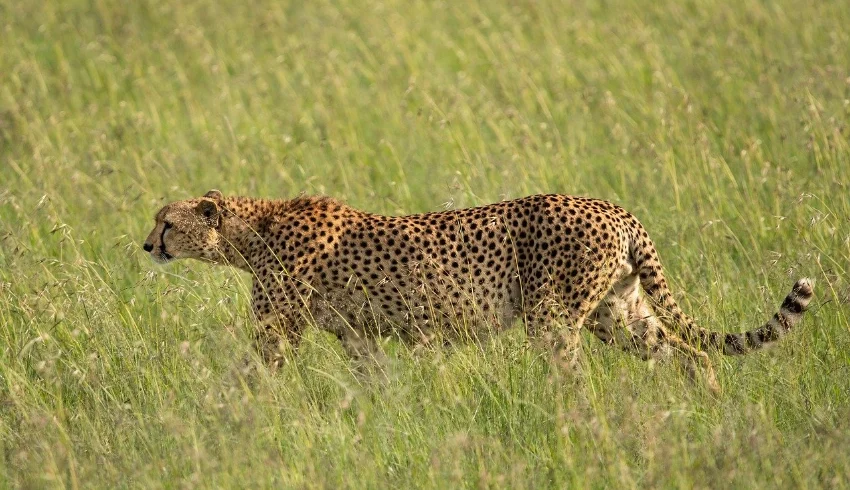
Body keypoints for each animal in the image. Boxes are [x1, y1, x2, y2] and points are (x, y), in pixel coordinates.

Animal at [143, 190, 814, 391]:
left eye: (165, 221)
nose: (147, 245)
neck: (251, 230)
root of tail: (612, 207)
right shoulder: (357, 335)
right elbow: (373, 380)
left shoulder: (277, 328)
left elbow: (252, 375)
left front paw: (230, 415)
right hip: (619, 313)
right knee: (692, 355)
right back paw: (708, 406)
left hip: (553, 316)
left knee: (572, 376)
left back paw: (563, 422)